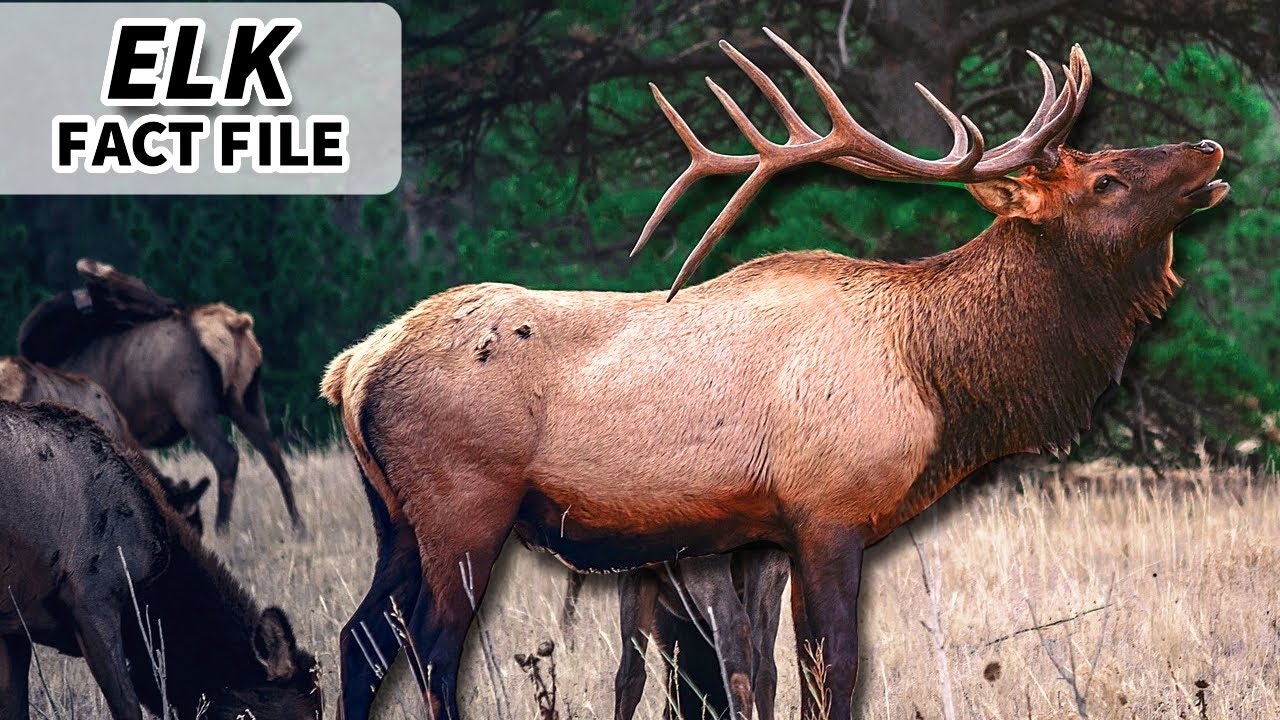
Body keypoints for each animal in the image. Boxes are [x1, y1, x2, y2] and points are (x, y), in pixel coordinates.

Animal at [320, 29, 1228, 720]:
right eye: (1106, 179)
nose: (1210, 144)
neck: (935, 379)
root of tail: (352, 367)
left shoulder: (760, 532)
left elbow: (761, 673)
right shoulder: (828, 510)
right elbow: (834, 671)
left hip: (394, 516)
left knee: (360, 639)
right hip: (464, 503)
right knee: (432, 649)